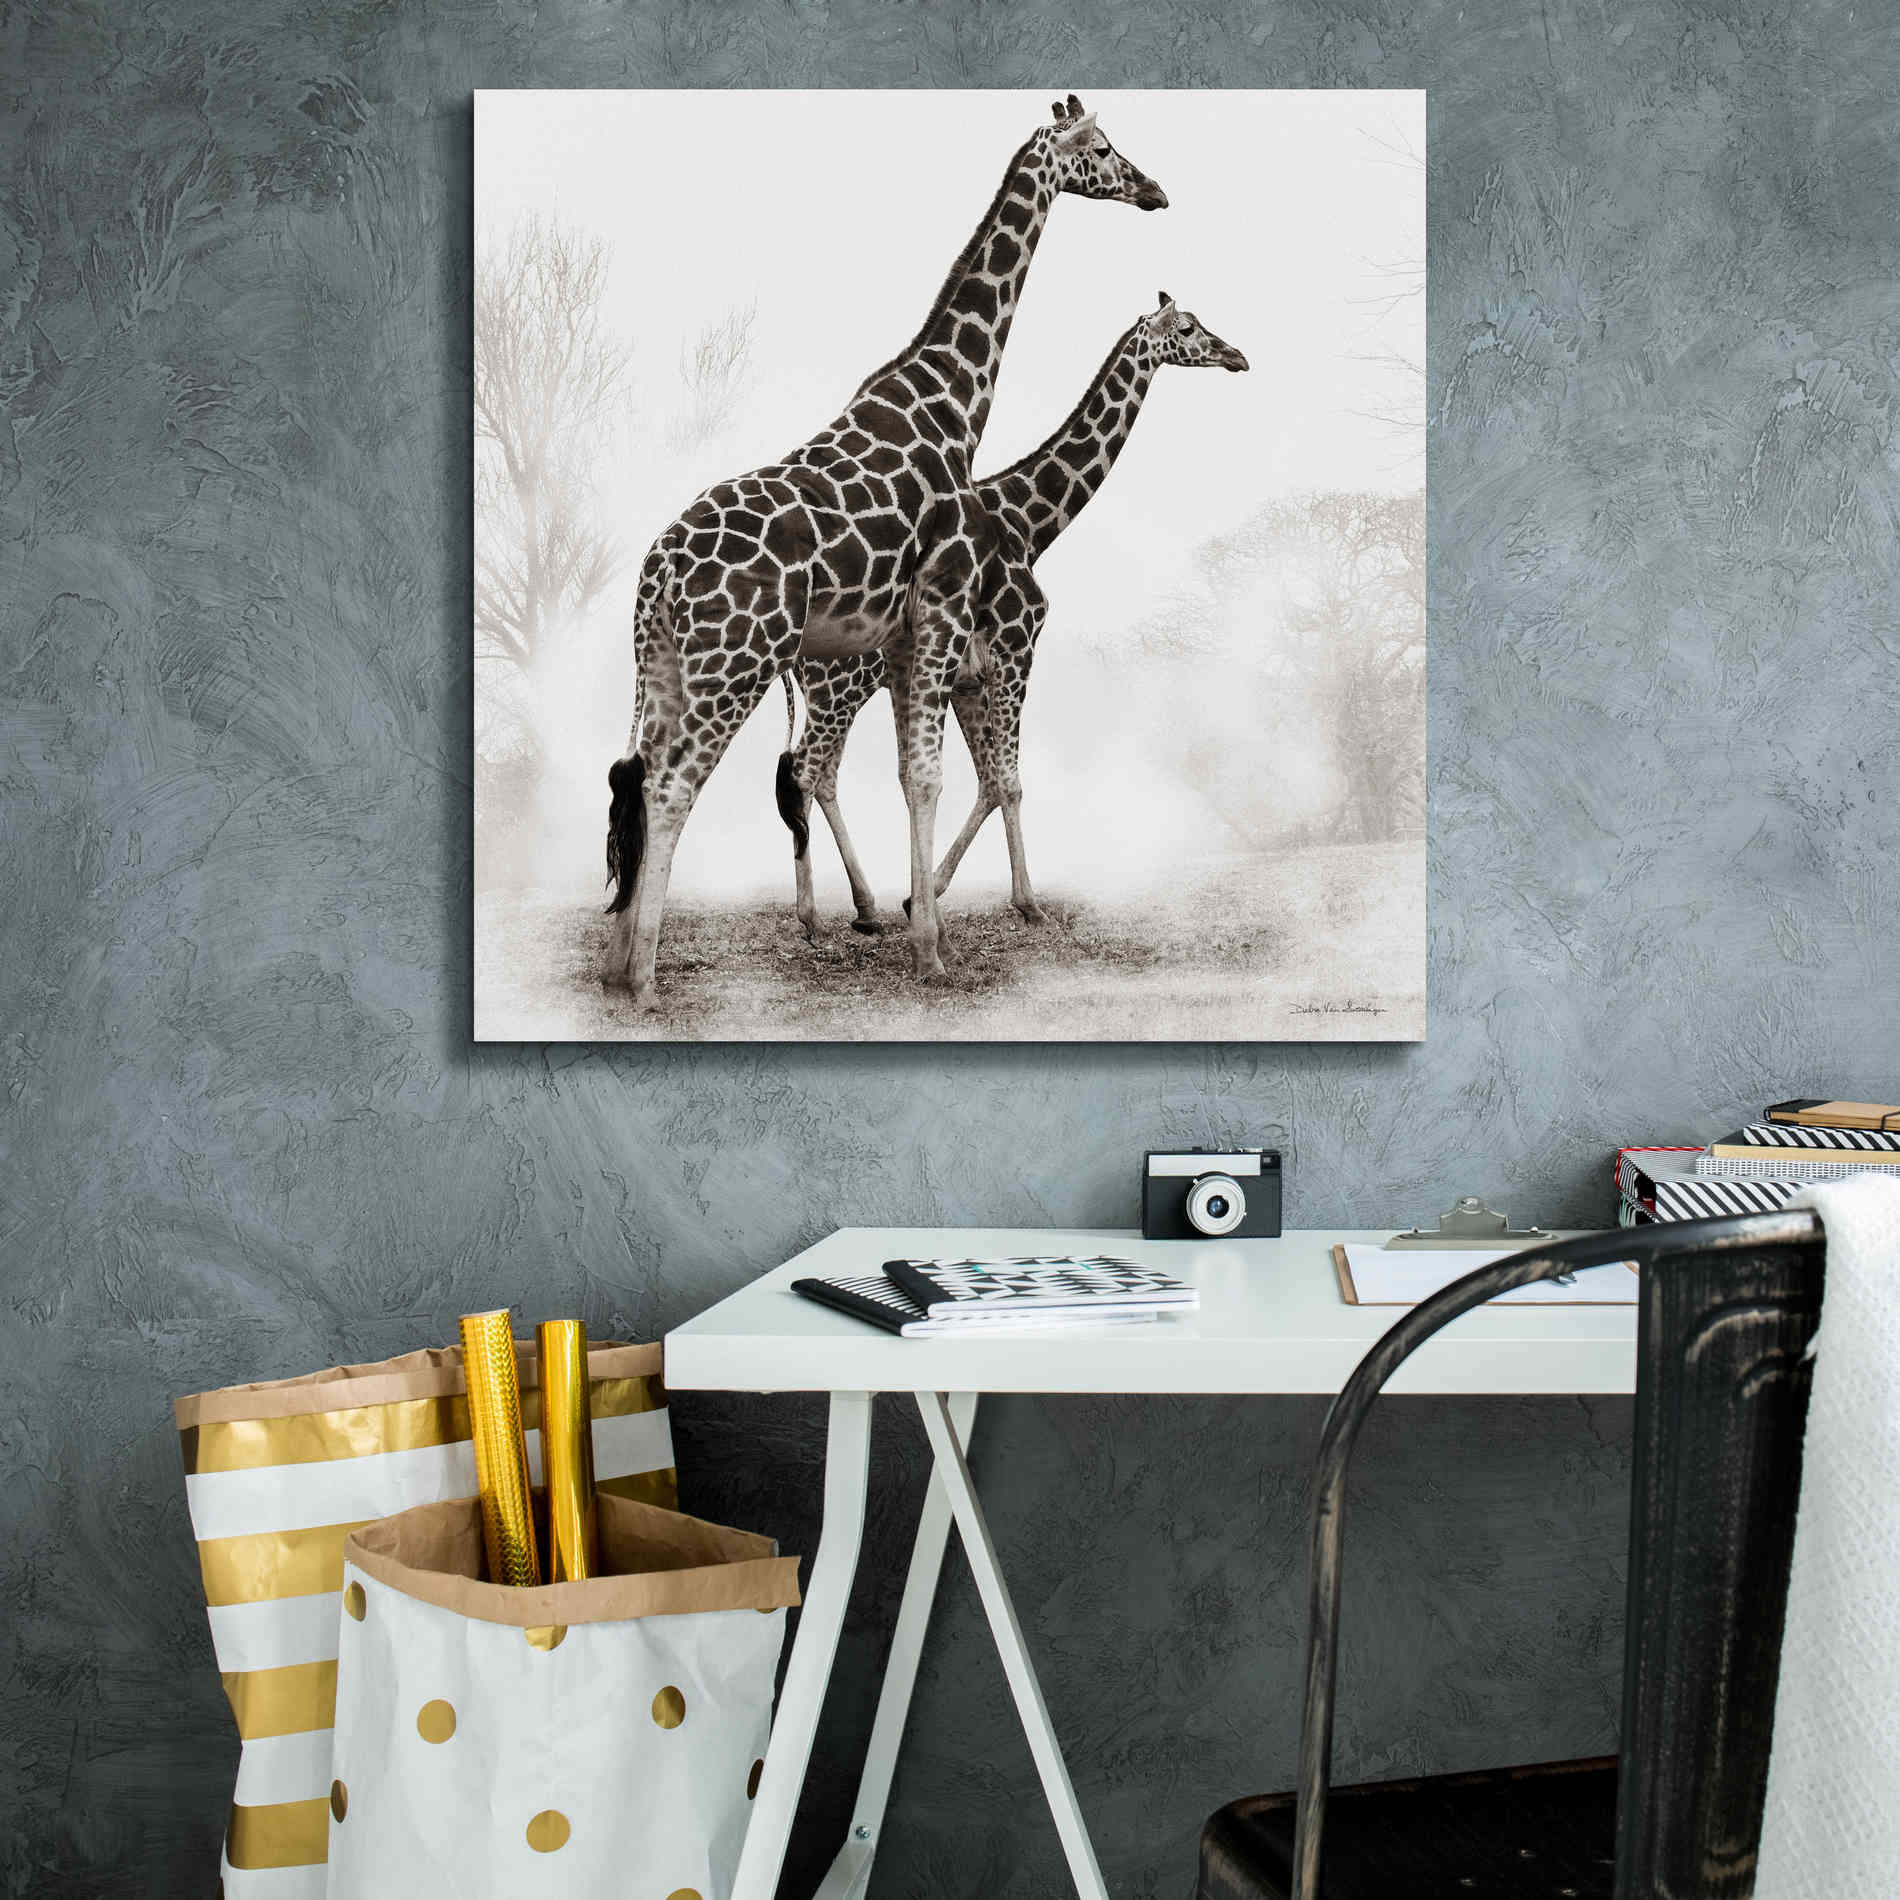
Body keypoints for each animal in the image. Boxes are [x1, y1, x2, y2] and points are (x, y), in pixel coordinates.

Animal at [604, 96, 1167, 1006]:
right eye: (1104, 147)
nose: (1155, 191)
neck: (953, 403)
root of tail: (657, 575)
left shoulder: (912, 638)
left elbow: (918, 776)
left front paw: (919, 922)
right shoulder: (945, 608)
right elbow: (939, 776)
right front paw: (932, 947)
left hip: (666, 664)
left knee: (644, 775)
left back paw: (618, 963)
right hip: (736, 664)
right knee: (678, 784)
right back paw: (650, 977)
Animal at [778, 291, 1249, 937]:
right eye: (1187, 327)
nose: (1237, 356)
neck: (1031, 523)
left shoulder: (969, 678)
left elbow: (986, 782)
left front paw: (922, 897)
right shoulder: (1016, 647)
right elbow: (1009, 781)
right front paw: (1025, 902)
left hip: (841, 691)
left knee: (821, 773)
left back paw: (865, 907)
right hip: (840, 687)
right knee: (806, 771)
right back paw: (812, 912)